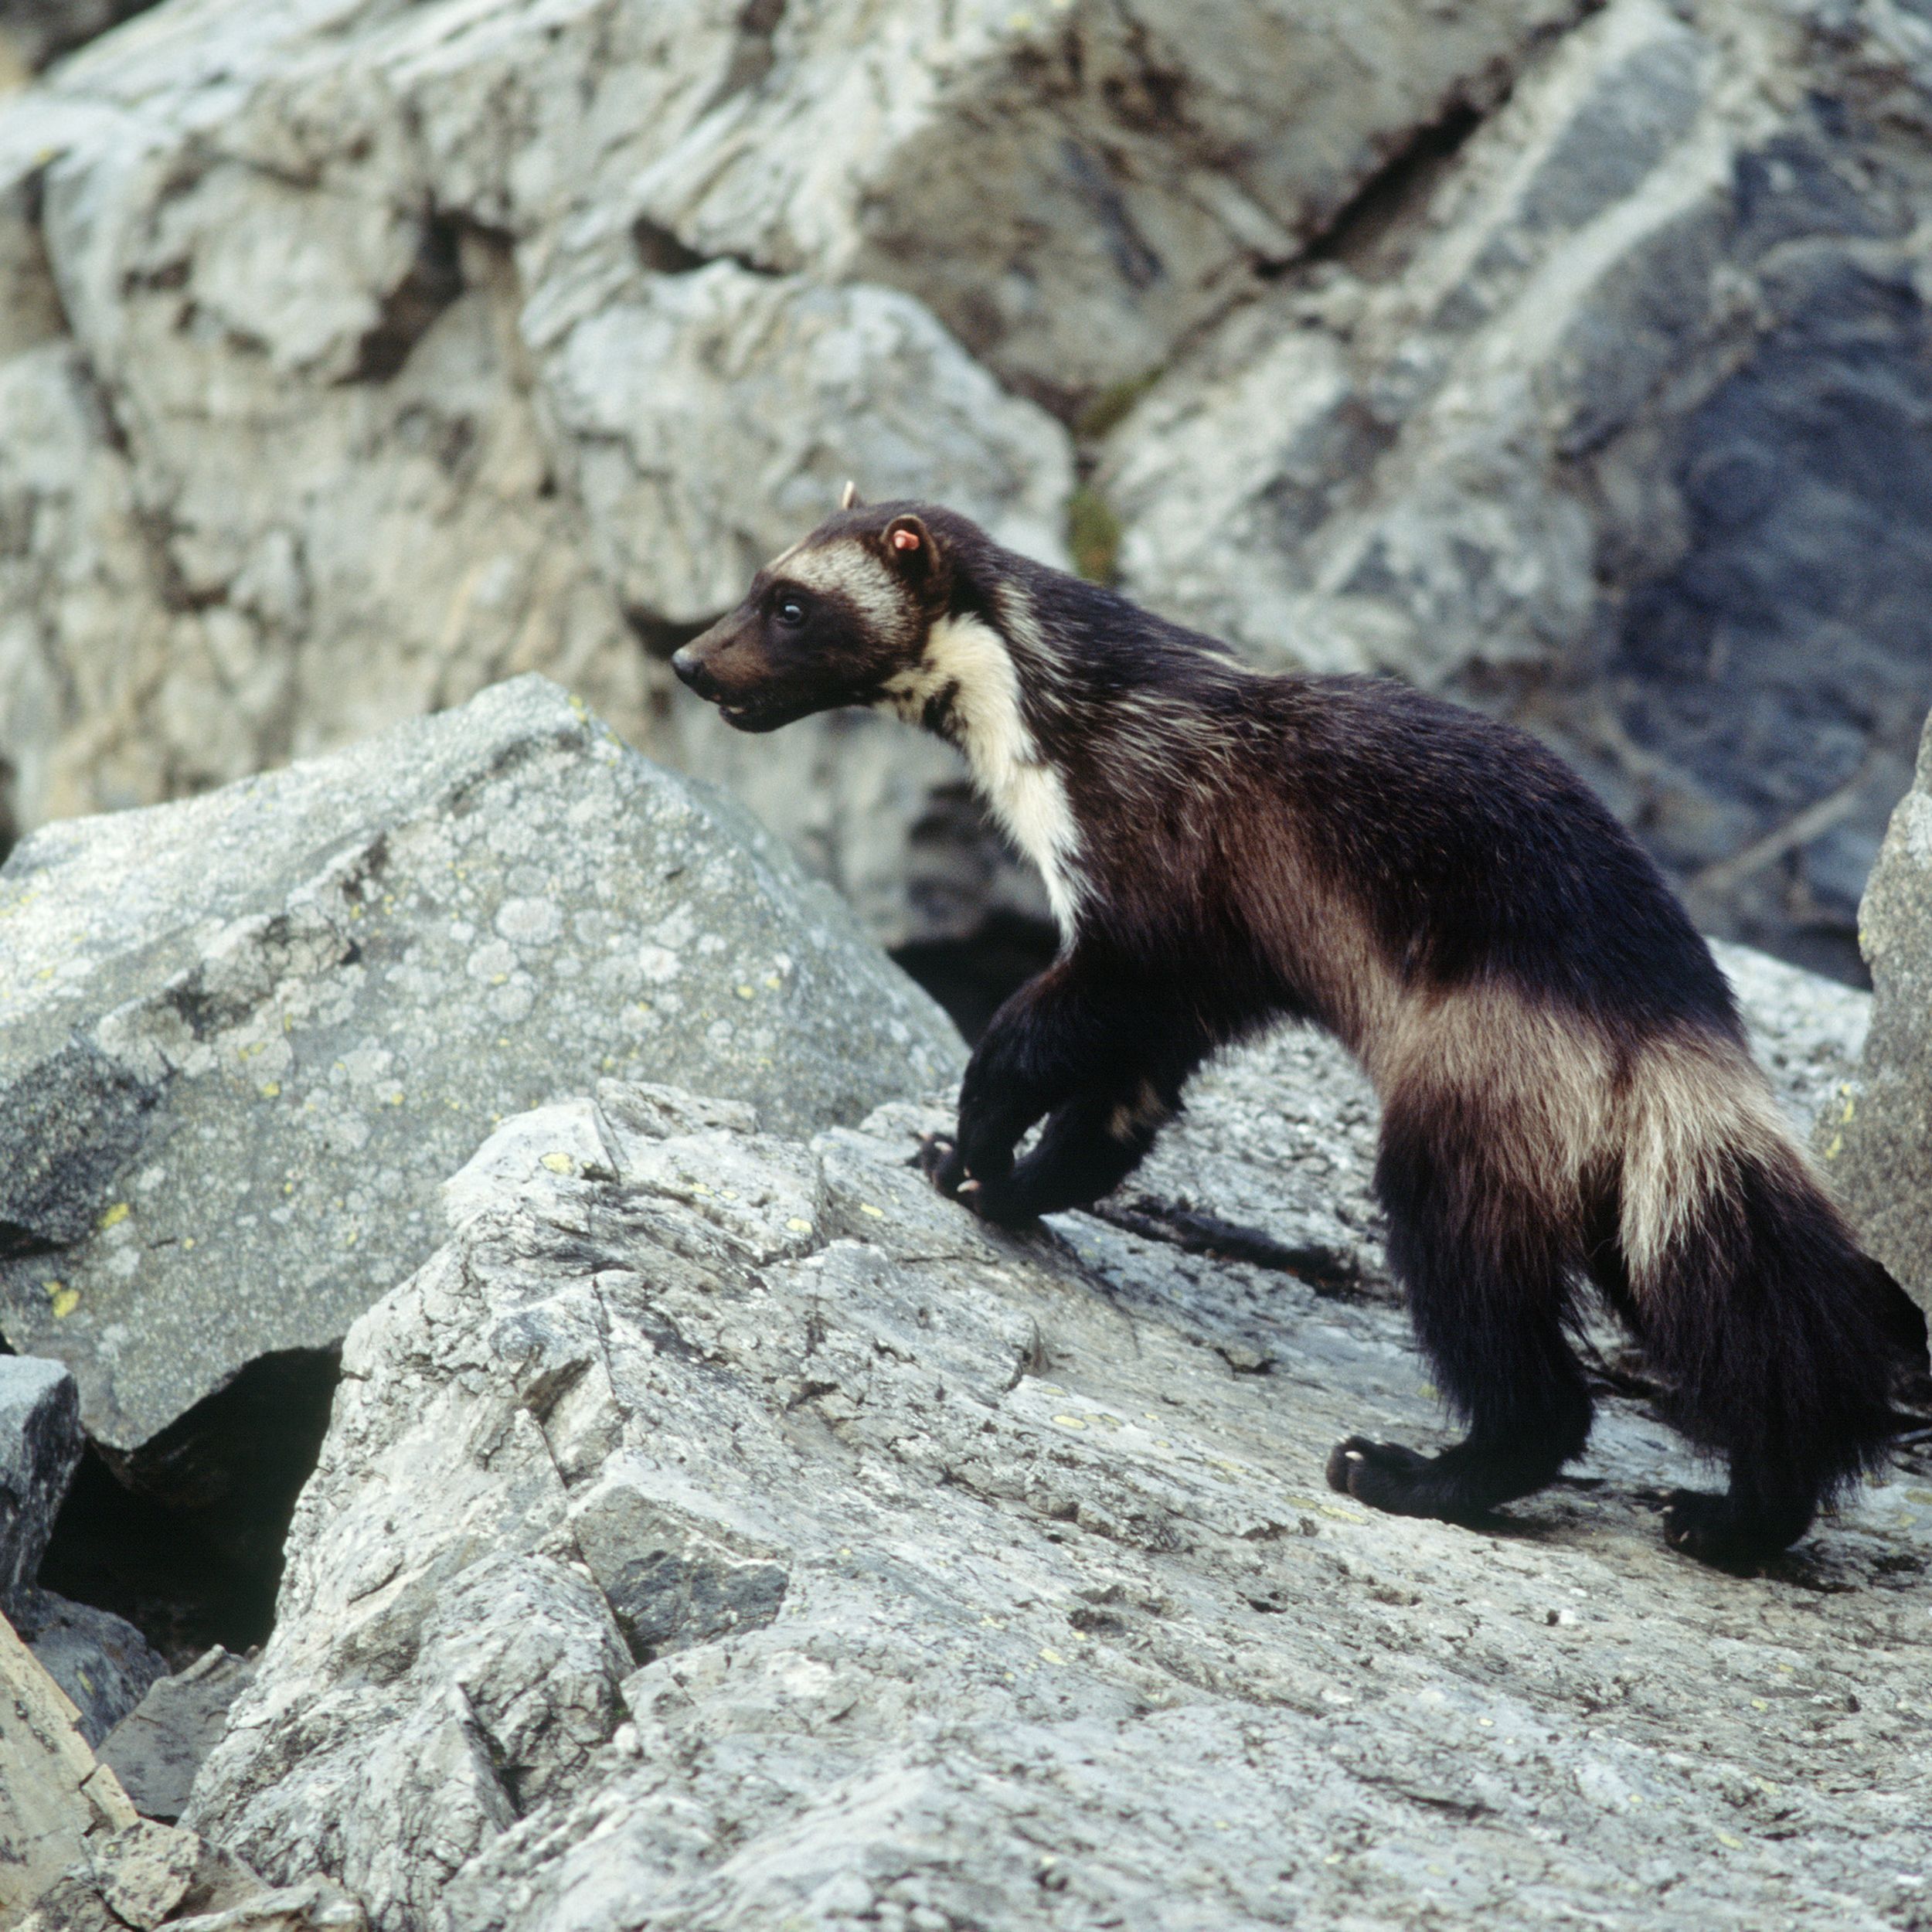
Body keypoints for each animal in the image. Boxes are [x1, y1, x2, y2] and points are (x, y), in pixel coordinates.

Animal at [670, 491, 1928, 1569]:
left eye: (790, 603)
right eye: (753, 577)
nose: (687, 661)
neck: (1074, 726)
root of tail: (1665, 1005)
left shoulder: (1136, 925)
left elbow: (1025, 1047)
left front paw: (964, 1149)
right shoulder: (1192, 993)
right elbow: (1109, 1126)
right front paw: (996, 1181)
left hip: (1459, 1140)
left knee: (1540, 1388)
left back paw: (1406, 1472)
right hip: (1645, 1195)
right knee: (1763, 1349)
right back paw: (1725, 1522)